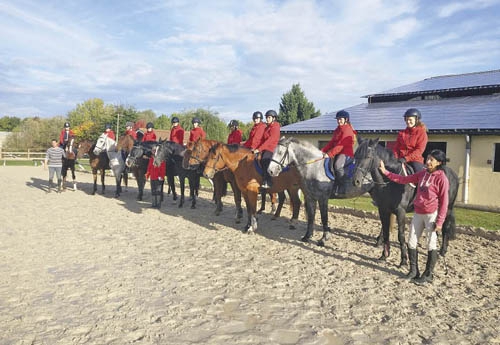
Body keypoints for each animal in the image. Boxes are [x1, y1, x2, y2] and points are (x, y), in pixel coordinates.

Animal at [352, 136, 458, 264]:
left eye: (368, 156)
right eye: (355, 155)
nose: (356, 181)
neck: (389, 182)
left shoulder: (400, 211)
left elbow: (401, 235)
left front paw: (403, 259)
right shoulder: (383, 210)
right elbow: (386, 231)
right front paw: (384, 255)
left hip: (447, 207)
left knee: (445, 227)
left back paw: (442, 251)